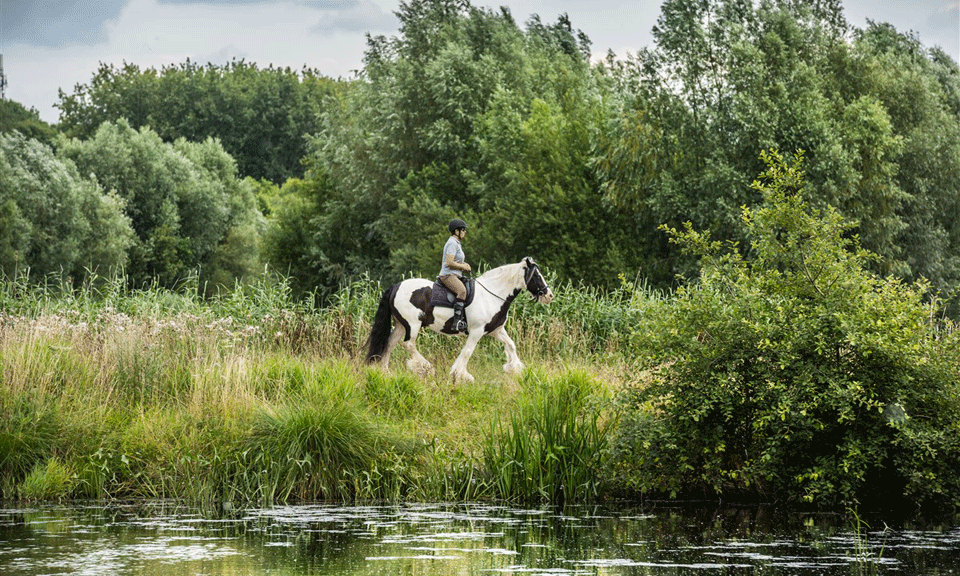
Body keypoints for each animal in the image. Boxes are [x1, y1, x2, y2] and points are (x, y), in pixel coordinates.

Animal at [364, 257, 554, 383]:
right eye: (537, 276)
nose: (549, 295)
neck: (492, 294)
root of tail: (396, 286)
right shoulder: (477, 331)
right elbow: (467, 351)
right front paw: (461, 375)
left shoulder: (496, 330)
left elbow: (511, 345)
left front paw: (514, 369)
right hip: (412, 324)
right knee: (408, 344)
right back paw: (426, 368)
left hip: (401, 325)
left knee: (389, 344)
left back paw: (386, 374)